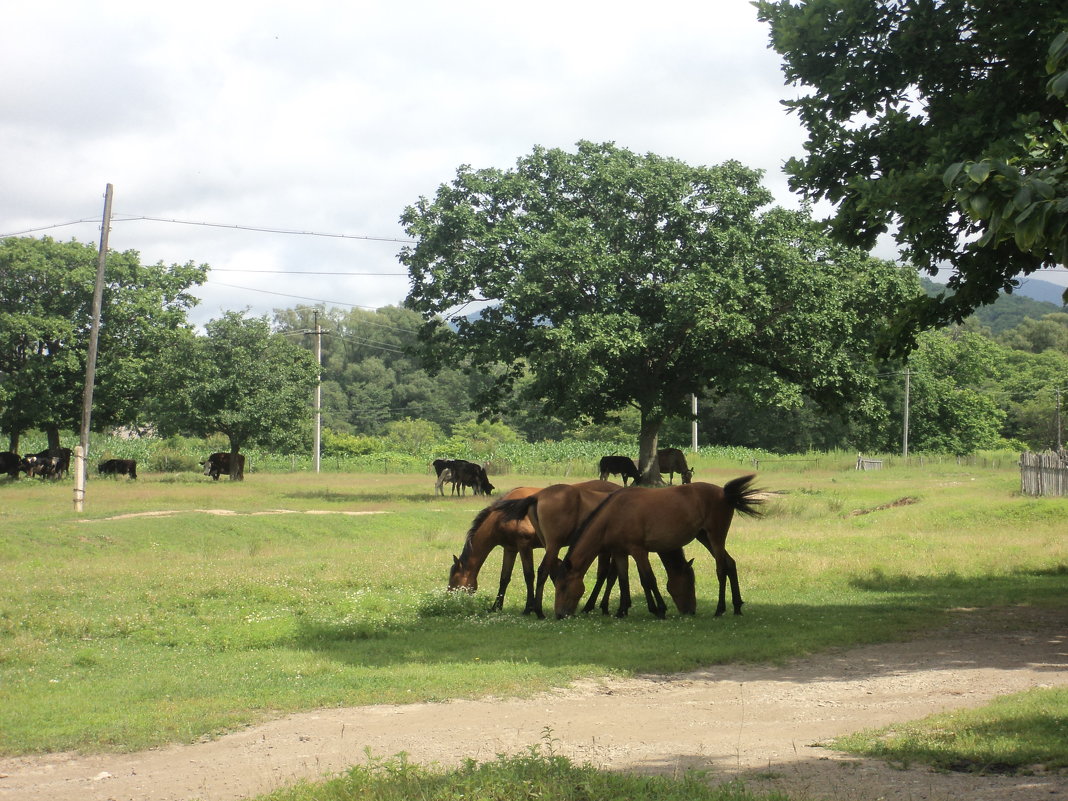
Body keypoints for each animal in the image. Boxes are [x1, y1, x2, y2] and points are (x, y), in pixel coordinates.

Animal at [555, 476, 764, 619]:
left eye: (564, 586)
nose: (559, 614)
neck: (614, 514)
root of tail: (725, 493)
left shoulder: (639, 551)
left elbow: (648, 580)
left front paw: (659, 609)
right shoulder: (620, 552)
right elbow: (623, 580)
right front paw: (622, 610)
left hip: (716, 536)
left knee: (721, 568)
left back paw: (720, 609)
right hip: (704, 536)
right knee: (730, 563)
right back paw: (737, 607)